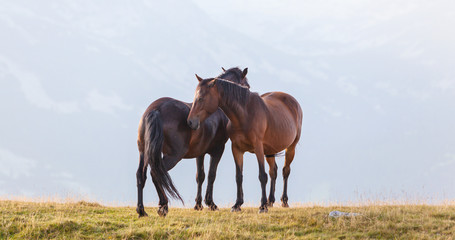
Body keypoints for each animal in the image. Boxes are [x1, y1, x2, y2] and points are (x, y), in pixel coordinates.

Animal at [136, 66, 249, 217]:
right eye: (247, 85)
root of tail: (155, 110)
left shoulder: (199, 153)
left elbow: (200, 176)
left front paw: (198, 204)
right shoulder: (218, 150)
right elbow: (211, 175)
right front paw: (210, 203)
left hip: (144, 152)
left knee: (141, 176)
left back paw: (141, 210)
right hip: (173, 156)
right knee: (156, 173)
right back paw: (163, 205)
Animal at [187, 73, 302, 212]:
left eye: (201, 98)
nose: (190, 122)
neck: (244, 115)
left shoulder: (258, 148)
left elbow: (262, 176)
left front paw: (262, 206)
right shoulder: (236, 149)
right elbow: (239, 176)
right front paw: (237, 204)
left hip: (291, 147)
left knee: (285, 171)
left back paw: (284, 201)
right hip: (270, 151)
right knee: (273, 172)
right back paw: (270, 201)